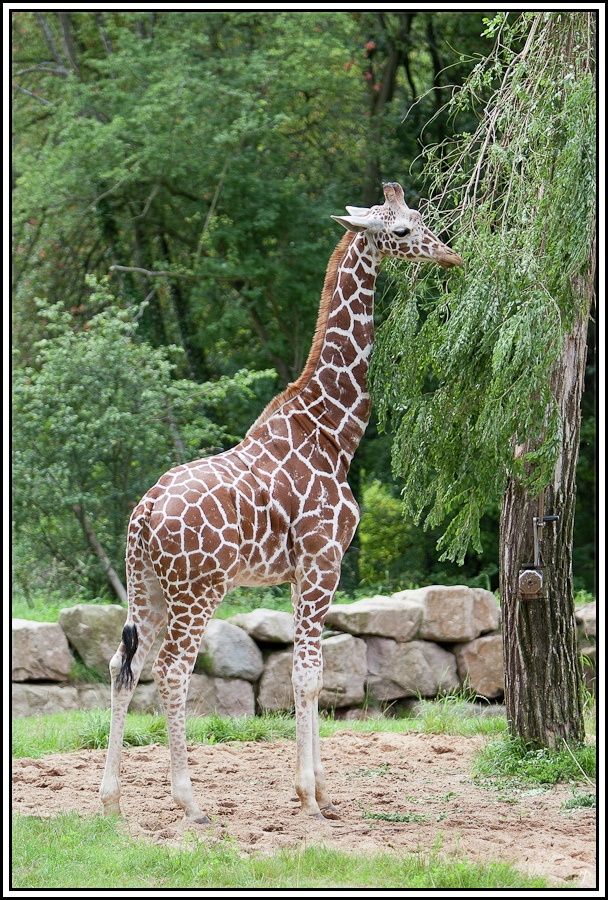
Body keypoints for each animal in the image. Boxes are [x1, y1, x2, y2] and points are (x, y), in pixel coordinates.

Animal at [101, 181, 460, 824]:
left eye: (420, 218)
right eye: (399, 231)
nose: (450, 255)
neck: (334, 432)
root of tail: (143, 517)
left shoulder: (299, 573)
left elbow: (305, 673)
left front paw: (323, 792)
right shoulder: (322, 562)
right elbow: (311, 677)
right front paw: (310, 797)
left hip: (146, 585)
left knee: (126, 665)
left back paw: (111, 801)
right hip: (197, 589)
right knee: (172, 671)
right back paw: (190, 803)